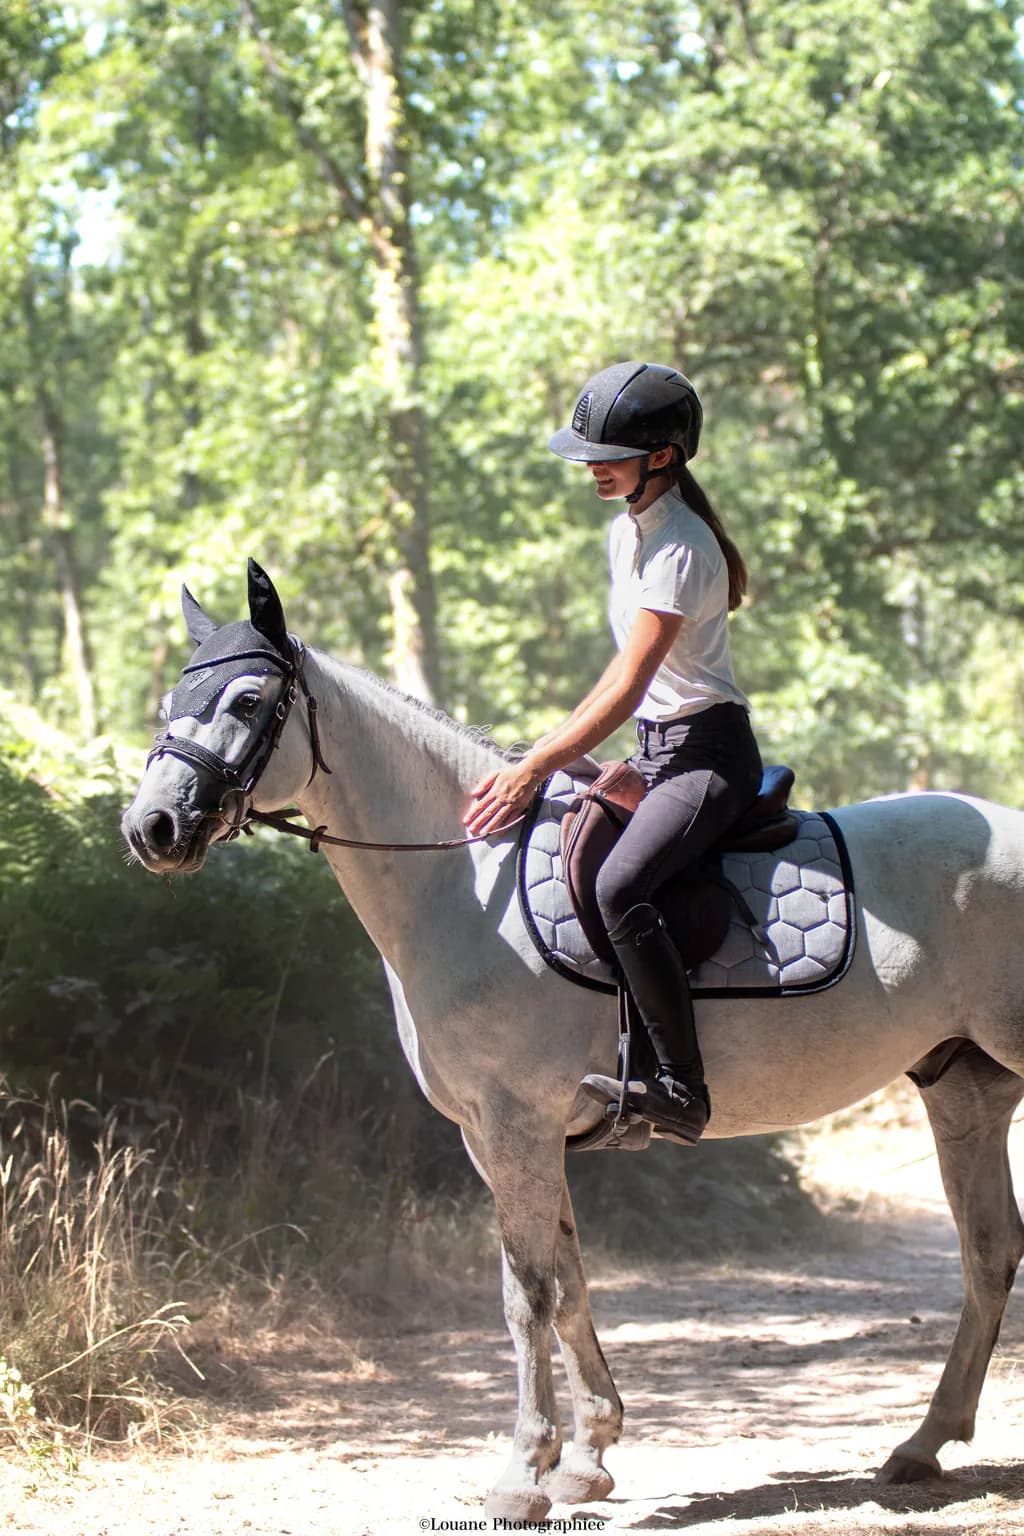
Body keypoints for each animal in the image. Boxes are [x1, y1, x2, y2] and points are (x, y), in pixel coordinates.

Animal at [121, 560, 1024, 1522]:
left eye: (248, 700)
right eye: (174, 699)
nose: (152, 829)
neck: (463, 876)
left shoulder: (516, 1124)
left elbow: (527, 1294)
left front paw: (523, 1474)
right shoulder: (500, 1136)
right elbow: (569, 1278)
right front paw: (588, 1456)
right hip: (966, 1088)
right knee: (989, 1249)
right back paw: (923, 1444)